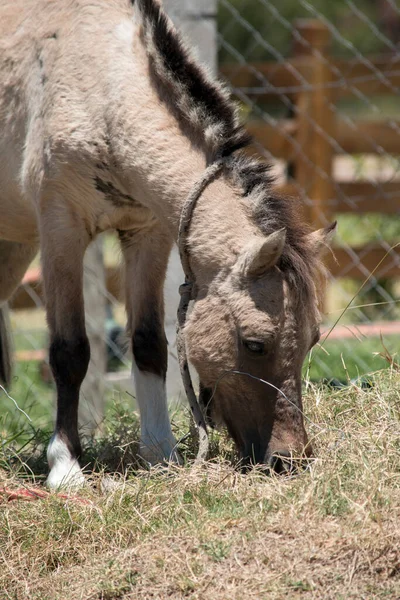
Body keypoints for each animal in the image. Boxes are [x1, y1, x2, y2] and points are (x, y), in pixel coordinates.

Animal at [0, 0, 334, 488]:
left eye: (312, 340)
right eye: (255, 344)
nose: (288, 460)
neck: (103, 84)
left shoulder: (148, 234)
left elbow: (149, 344)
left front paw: (161, 453)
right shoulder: (62, 232)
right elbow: (70, 351)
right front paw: (65, 468)